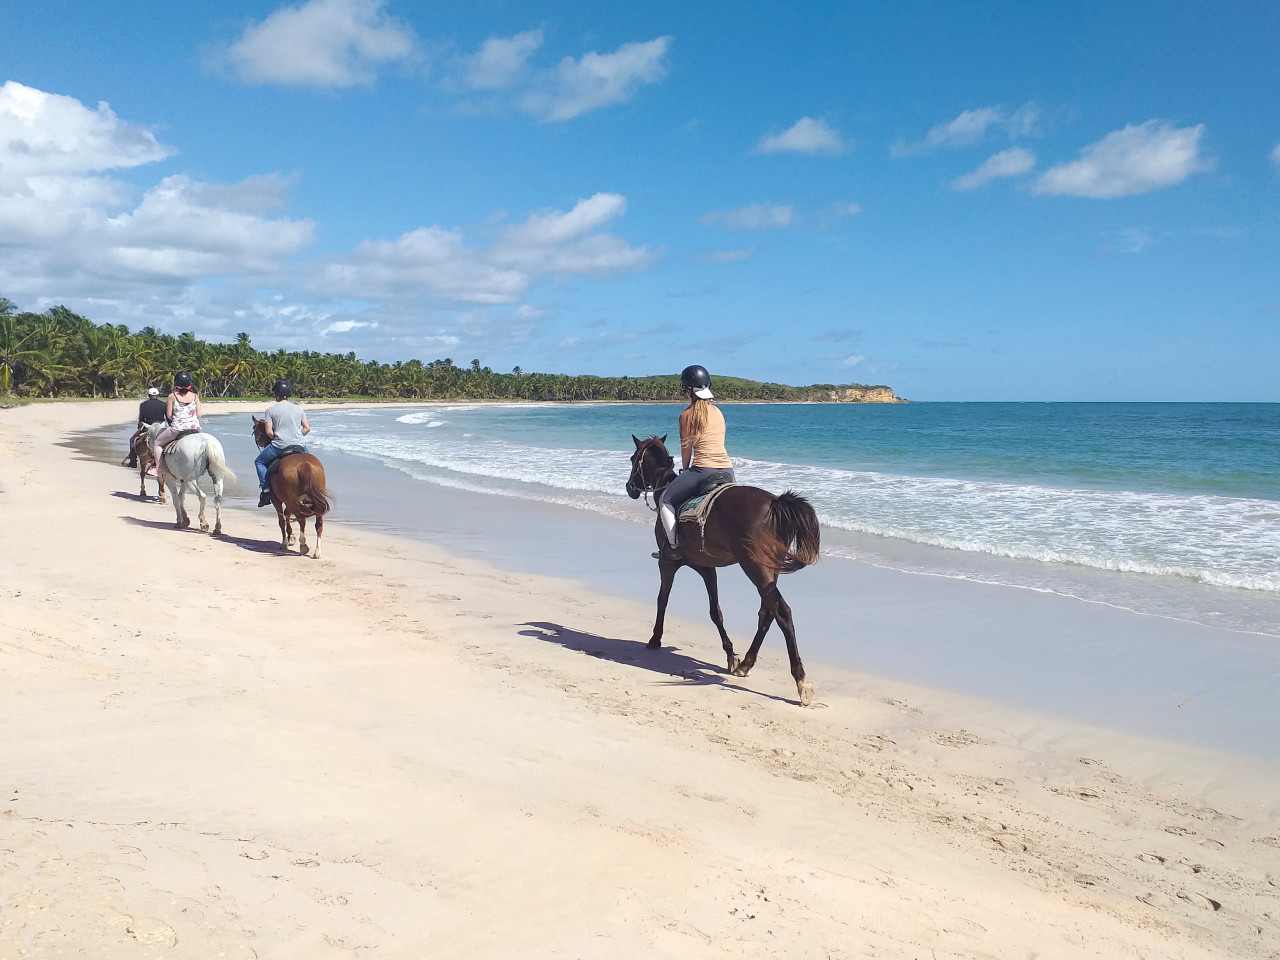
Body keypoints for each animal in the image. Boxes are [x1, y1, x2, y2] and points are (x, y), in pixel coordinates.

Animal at [252, 417, 332, 560]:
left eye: (254, 430)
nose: (258, 441)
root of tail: (304, 464)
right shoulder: (289, 500)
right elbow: (287, 514)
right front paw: (291, 537)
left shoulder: (277, 499)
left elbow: (282, 519)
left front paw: (286, 541)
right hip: (311, 498)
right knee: (318, 523)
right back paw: (317, 551)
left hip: (290, 499)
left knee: (301, 519)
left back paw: (303, 546)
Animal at [627, 435, 824, 706]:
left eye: (633, 459)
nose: (630, 488)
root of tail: (774, 503)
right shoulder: (707, 568)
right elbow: (715, 611)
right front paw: (731, 655)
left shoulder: (667, 564)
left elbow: (662, 600)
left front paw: (655, 639)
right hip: (768, 570)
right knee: (767, 613)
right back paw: (747, 664)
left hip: (755, 567)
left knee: (782, 612)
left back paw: (801, 681)